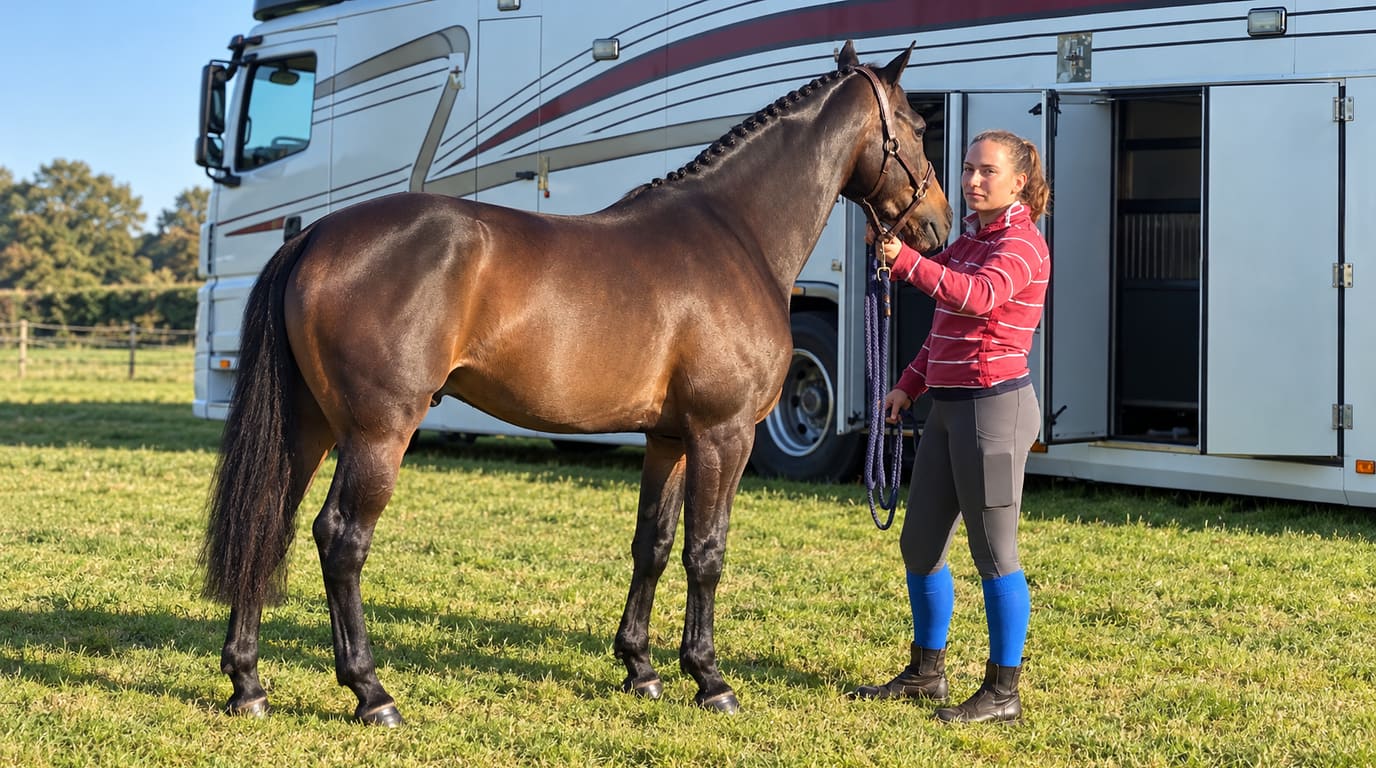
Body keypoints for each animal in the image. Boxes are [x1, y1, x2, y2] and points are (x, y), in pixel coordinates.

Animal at [200, 40, 952, 725]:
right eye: (918, 126)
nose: (938, 226)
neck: (735, 236)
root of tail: (313, 238)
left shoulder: (669, 439)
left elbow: (653, 545)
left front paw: (641, 670)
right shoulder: (723, 435)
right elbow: (706, 552)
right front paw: (710, 680)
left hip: (309, 427)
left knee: (268, 522)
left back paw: (248, 685)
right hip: (378, 433)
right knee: (341, 540)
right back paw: (371, 693)